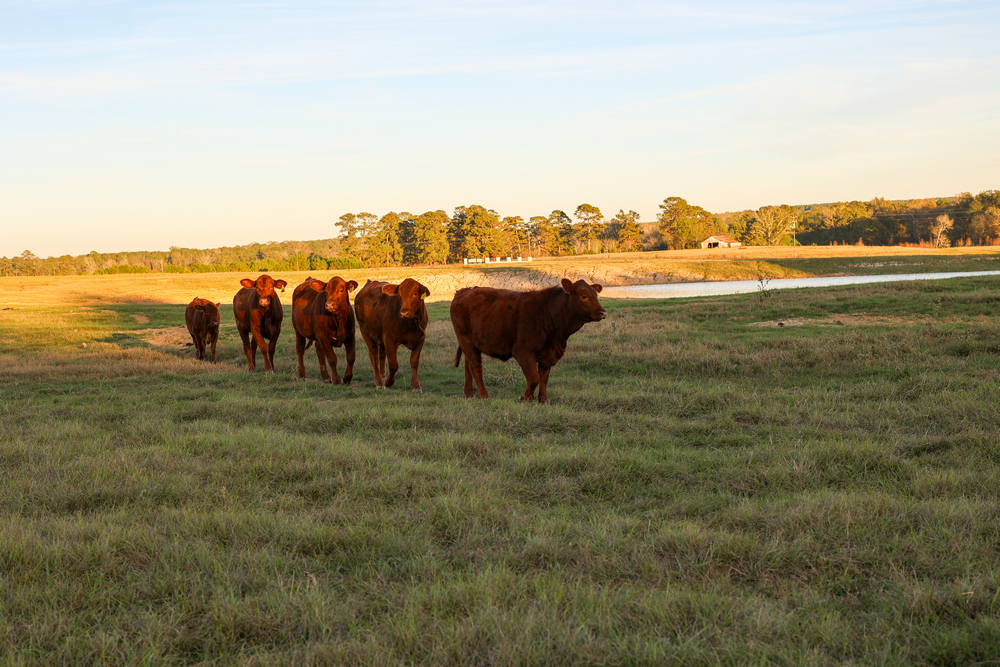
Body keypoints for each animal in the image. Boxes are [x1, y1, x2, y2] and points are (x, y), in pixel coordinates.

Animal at [450, 278, 606, 404]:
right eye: (584, 296)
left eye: (596, 295)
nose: (602, 312)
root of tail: (464, 291)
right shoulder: (523, 352)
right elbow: (533, 378)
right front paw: (525, 398)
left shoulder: (548, 355)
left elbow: (543, 378)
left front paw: (543, 400)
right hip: (465, 338)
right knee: (475, 366)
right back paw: (484, 395)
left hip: (470, 343)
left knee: (468, 365)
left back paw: (468, 393)